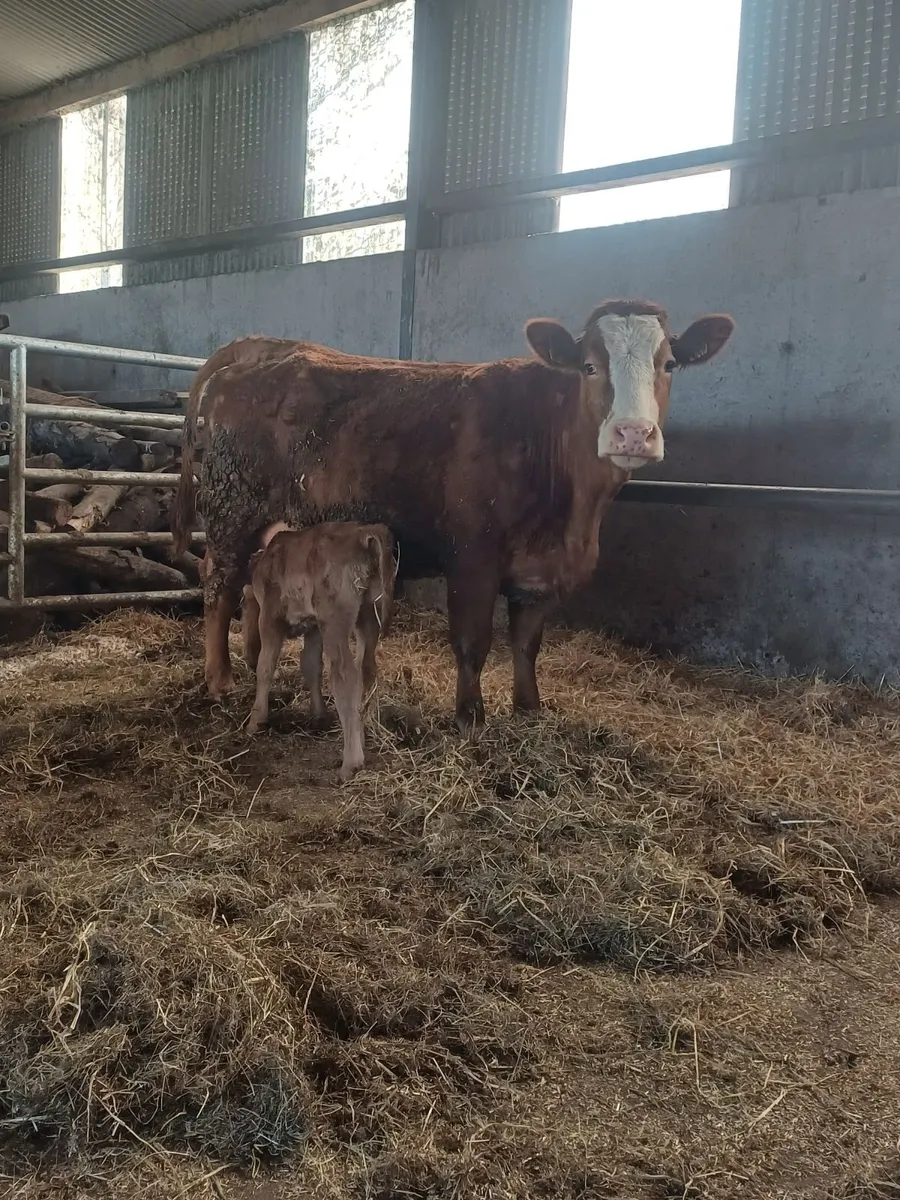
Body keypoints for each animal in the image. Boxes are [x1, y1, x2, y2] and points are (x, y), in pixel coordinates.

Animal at [172, 300, 735, 730]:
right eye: (590, 366)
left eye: (669, 365)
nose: (633, 433)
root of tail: (250, 360)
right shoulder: (473, 555)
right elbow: (473, 640)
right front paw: (470, 716)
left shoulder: (539, 573)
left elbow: (527, 643)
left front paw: (528, 708)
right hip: (232, 509)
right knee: (219, 584)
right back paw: (220, 679)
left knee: (249, 587)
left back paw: (248, 663)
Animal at [241, 521, 395, 780]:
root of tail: (364, 534)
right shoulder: (313, 627)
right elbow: (311, 664)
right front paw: (319, 715)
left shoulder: (270, 618)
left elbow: (266, 666)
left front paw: (256, 720)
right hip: (368, 613)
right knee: (367, 669)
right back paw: (362, 735)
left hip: (335, 620)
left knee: (345, 676)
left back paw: (351, 762)